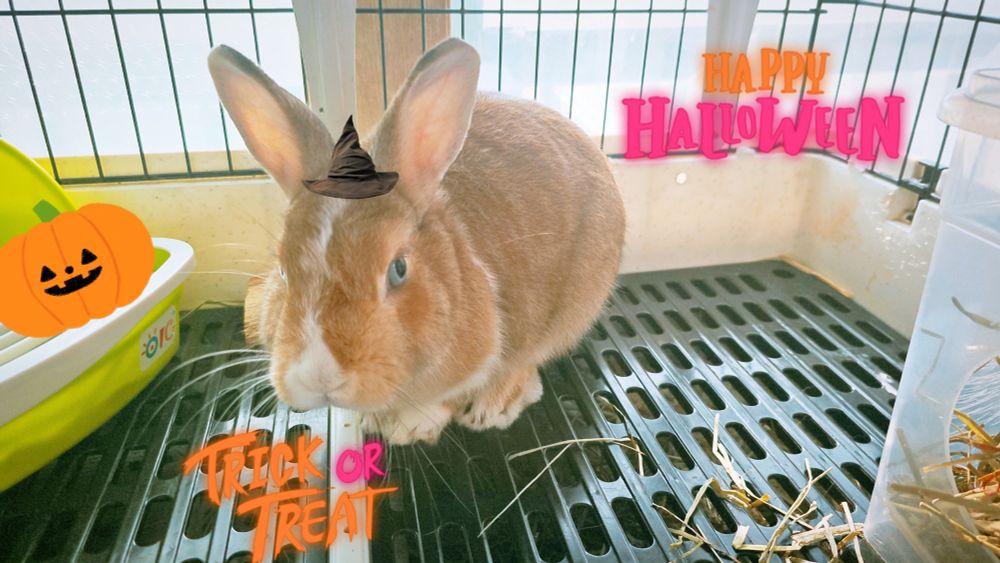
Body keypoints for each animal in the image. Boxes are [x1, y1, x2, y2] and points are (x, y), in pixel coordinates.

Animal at [208, 38, 625, 444]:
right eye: (281, 269)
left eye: (398, 269)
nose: (319, 377)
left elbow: (449, 395)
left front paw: (412, 426)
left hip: (576, 306)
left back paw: (493, 407)